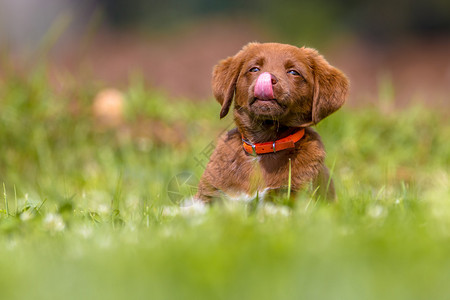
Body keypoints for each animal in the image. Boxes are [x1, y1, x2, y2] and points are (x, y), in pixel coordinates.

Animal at [196, 42, 348, 203]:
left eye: (293, 72)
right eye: (254, 69)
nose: (268, 79)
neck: (263, 146)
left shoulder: (296, 195)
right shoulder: (208, 195)